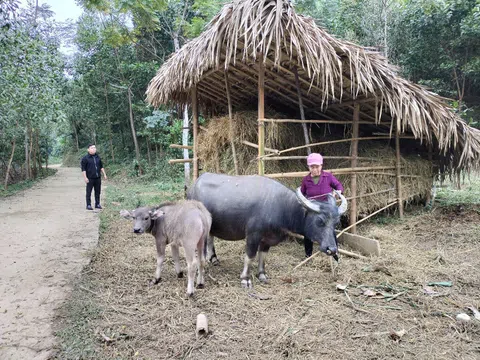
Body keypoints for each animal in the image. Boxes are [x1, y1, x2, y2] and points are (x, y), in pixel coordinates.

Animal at [186, 173, 346, 288]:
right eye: (320, 221)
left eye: (336, 222)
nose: (332, 249)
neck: (281, 207)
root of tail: (193, 186)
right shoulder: (253, 235)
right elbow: (250, 256)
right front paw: (245, 279)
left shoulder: (267, 238)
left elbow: (263, 255)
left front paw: (262, 274)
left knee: (211, 237)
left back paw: (213, 258)